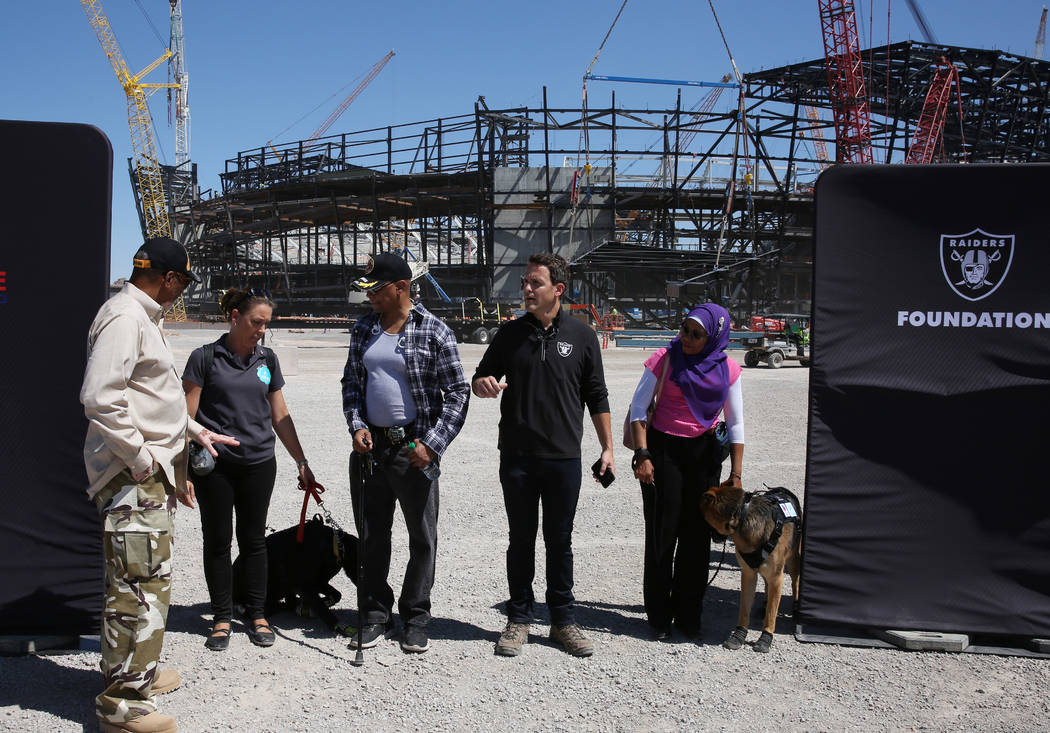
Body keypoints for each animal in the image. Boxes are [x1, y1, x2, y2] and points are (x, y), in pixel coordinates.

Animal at [701, 485, 797, 651]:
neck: (741, 518)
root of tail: (782, 489)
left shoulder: (777, 577)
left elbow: (772, 613)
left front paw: (766, 638)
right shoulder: (748, 574)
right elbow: (744, 609)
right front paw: (739, 635)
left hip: (792, 562)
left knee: (795, 582)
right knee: (766, 584)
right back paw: (764, 604)